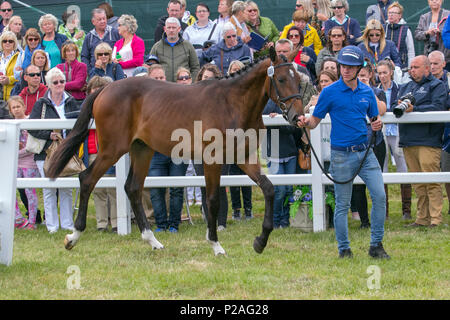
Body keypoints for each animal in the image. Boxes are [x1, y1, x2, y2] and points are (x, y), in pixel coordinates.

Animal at [46, 45, 302, 255]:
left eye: (298, 79)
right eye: (280, 79)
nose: (297, 117)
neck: (232, 103)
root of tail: (104, 89)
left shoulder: (244, 157)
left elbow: (269, 189)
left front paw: (260, 241)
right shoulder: (212, 160)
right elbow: (212, 200)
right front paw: (216, 245)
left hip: (142, 150)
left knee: (132, 188)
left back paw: (153, 241)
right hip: (112, 149)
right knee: (87, 179)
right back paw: (73, 237)